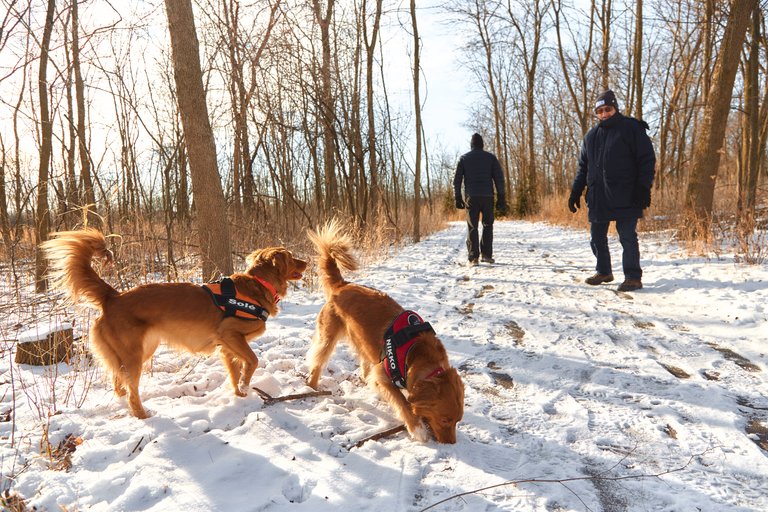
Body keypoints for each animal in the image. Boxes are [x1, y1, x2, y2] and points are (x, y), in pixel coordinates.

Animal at [42, 230, 306, 418]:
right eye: (291, 257)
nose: (306, 261)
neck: (258, 285)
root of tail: (113, 296)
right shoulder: (230, 334)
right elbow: (252, 361)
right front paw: (246, 384)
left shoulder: (226, 347)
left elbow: (234, 372)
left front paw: (240, 394)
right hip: (134, 356)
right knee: (132, 391)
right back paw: (142, 415)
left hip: (139, 351)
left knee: (118, 383)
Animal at [304, 222, 462, 442]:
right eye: (445, 420)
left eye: (458, 421)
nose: (452, 444)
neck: (417, 352)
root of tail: (342, 285)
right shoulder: (385, 373)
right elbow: (402, 401)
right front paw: (417, 428)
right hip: (327, 337)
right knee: (317, 360)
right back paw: (311, 385)